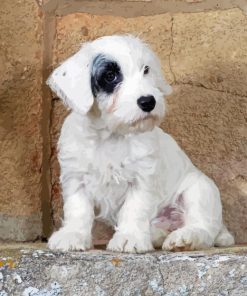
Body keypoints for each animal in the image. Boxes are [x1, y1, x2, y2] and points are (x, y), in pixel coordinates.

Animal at [47, 34, 234, 252]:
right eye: (110, 76)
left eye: (146, 70)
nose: (148, 101)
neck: (111, 135)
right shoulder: (76, 177)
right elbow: (78, 209)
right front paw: (73, 235)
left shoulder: (141, 178)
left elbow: (133, 210)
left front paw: (129, 237)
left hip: (199, 190)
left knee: (203, 228)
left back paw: (184, 238)